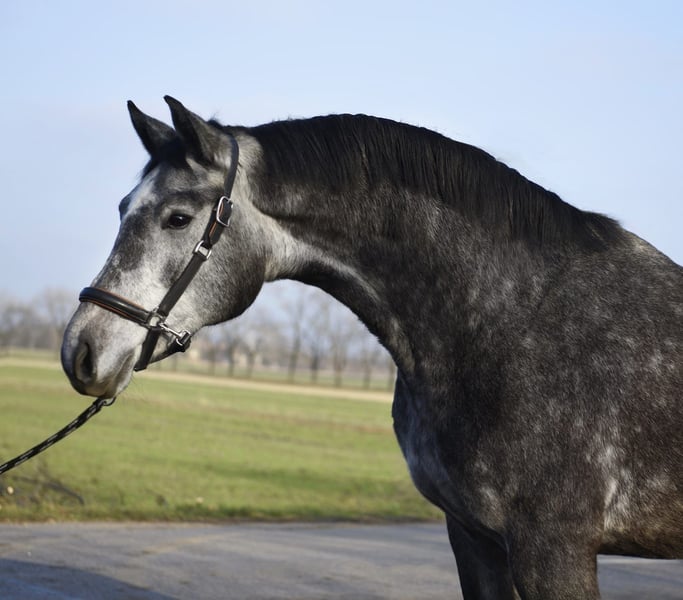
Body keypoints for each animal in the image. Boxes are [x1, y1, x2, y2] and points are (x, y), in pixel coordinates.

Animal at [61, 97, 682, 599]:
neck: (513, 321)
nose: (81, 350)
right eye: (123, 208)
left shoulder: (554, 550)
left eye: (178, 217)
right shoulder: (475, 537)